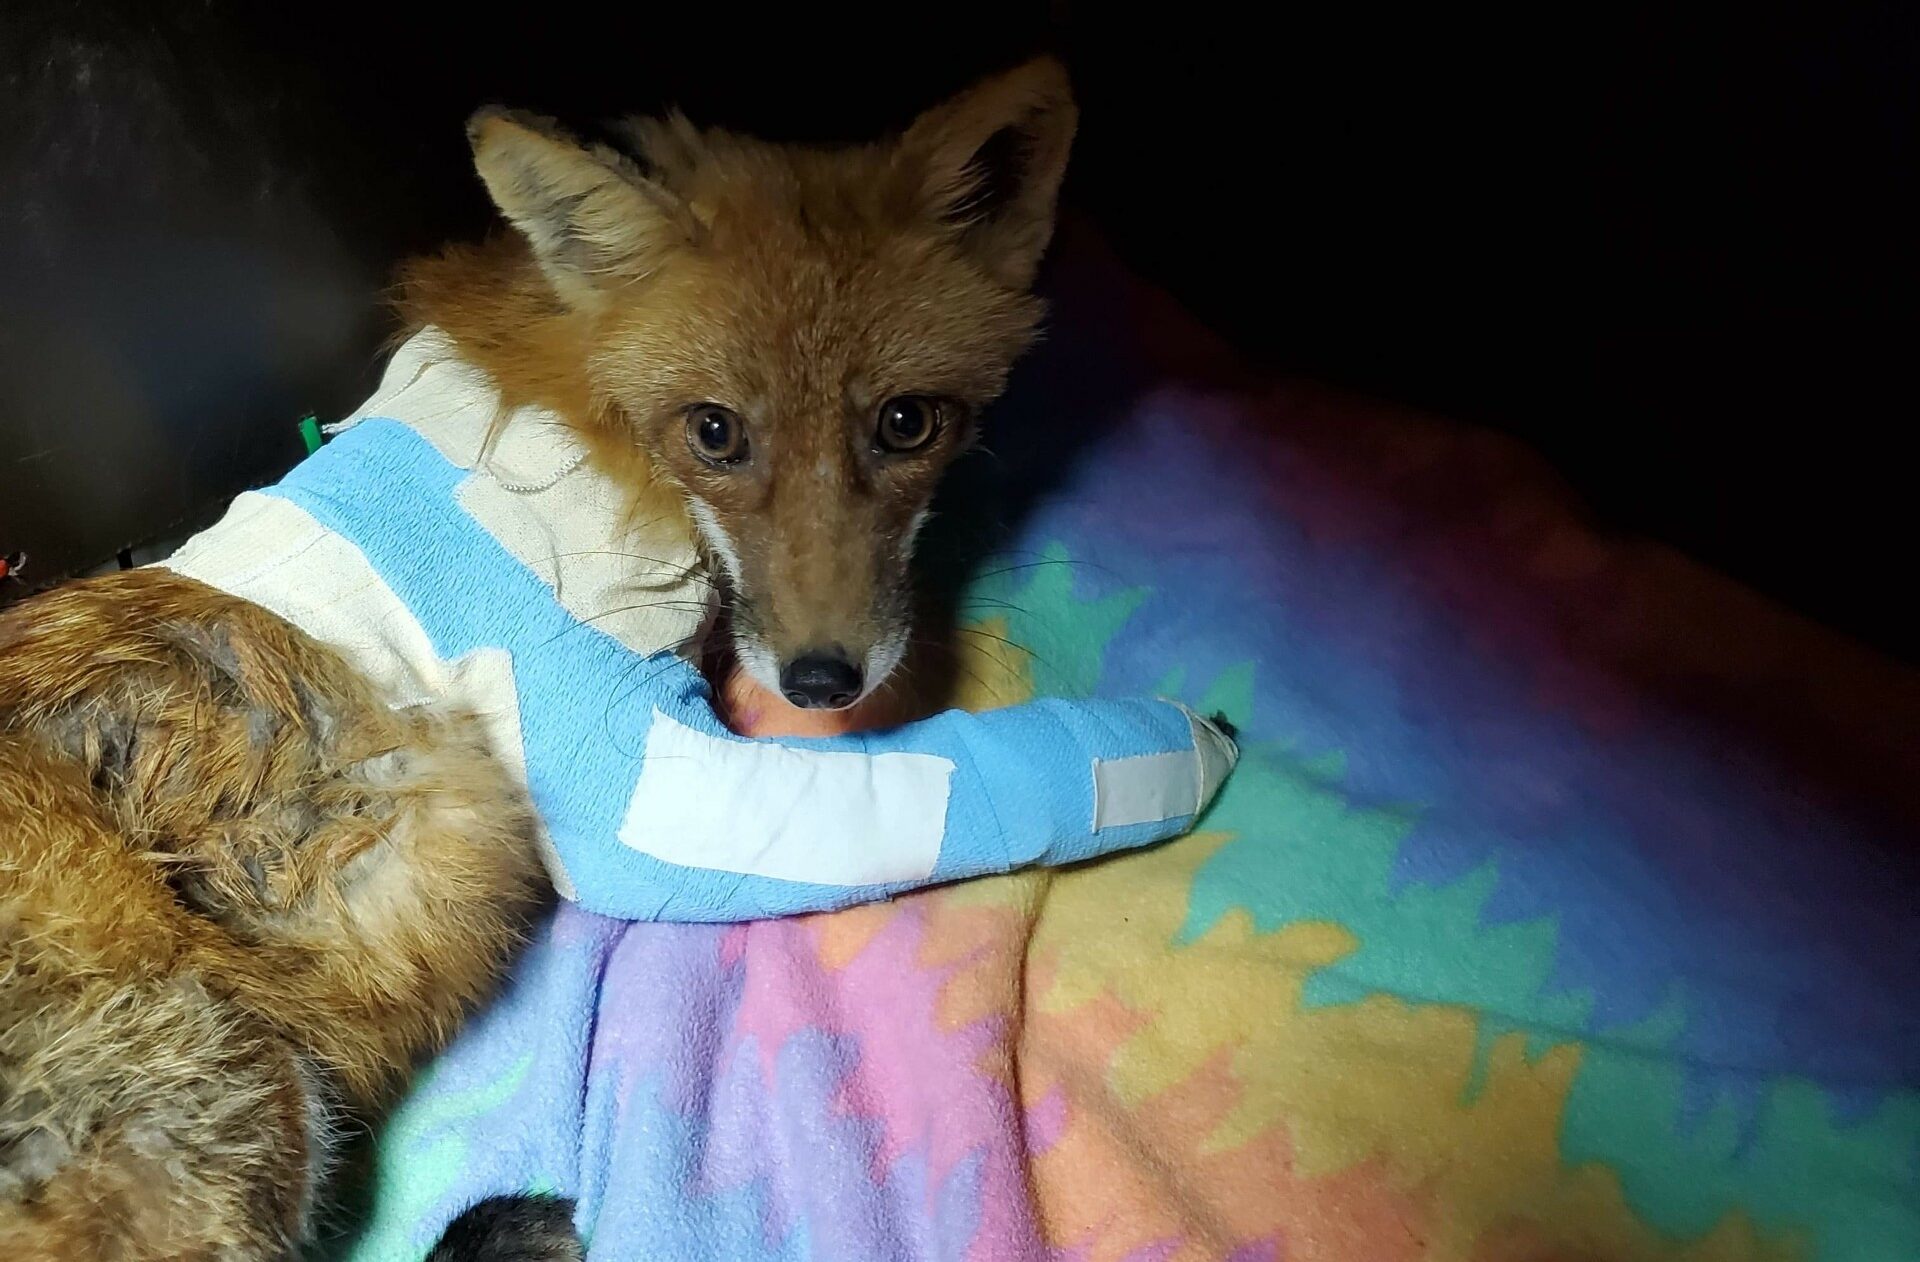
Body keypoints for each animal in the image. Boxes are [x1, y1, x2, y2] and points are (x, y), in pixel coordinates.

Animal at [0, 57, 1079, 1260]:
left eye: (906, 424)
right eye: (715, 433)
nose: (822, 682)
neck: (588, 414)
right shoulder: (615, 742)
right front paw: (1160, 747)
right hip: (241, 1084)